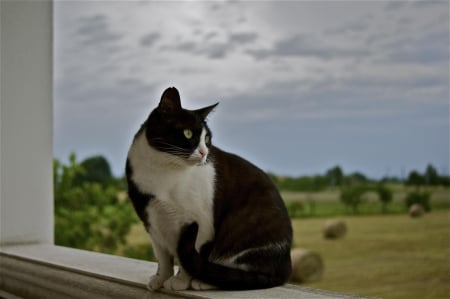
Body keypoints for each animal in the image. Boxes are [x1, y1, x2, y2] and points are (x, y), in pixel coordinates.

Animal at [125, 87, 292, 292]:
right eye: (188, 133)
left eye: (206, 138)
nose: (204, 152)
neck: (164, 171)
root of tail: (286, 265)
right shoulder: (152, 223)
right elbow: (163, 257)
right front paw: (160, 278)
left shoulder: (202, 224)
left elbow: (188, 257)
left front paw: (180, 282)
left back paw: (205, 281)